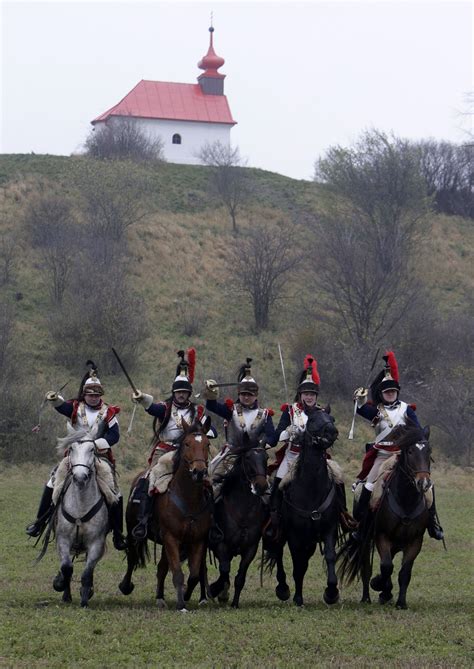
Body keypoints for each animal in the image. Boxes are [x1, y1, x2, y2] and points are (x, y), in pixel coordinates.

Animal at [50, 428, 112, 604]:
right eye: (71, 449)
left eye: (92, 449)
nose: (79, 477)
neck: (81, 506)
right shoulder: (63, 540)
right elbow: (66, 568)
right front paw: (62, 587)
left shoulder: (96, 543)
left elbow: (87, 571)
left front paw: (85, 596)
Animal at [119, 418, 212, 612]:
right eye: (187, 443)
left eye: (207, 444)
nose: (199, 472)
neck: (188, 500)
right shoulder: (171, 538)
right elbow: (177, 573)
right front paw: (181, 605)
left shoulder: (197, 541)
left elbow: (193, 574)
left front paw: (185, 596)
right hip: (133, 532)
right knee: (132, 558)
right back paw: (126, 586)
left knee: (162, 567)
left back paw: (160, 597)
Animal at [208, 430, 270, 608]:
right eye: (248, 457)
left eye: (266, 457)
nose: (261, 486)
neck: (243, 512)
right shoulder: (221, 545)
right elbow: (224, 571)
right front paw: (216, 591)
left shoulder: (250, 549)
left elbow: (239, 577)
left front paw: (234, 602)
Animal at [266, 408, 340, 604]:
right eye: (312, 420)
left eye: (332, 418)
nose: (332, 432)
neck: (311, 488)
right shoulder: (295, 535)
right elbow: (296, 564)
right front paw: (297, 597)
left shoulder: (328, 529)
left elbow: (329, 556)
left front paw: (331, 592)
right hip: (281, 531)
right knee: (278, 552)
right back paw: (283, 588)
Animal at [336, 426, 434, 608]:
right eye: (410, 451)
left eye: (428, 451)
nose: (423, 483)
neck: (406, 501)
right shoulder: (382, 536)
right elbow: (386, 566)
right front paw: (380, 585)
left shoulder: (415, 541)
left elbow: (404, 572)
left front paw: (400, 602)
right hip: (366, 539)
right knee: (366, 567)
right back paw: (367, 597)